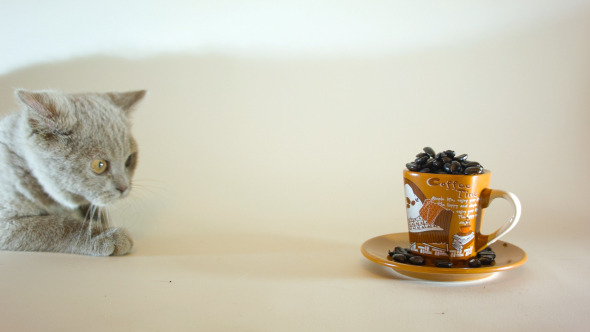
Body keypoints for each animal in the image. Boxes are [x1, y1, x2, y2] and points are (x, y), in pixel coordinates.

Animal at [0, 89, 147, 256]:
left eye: (129, 160)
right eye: (99, 165)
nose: (124, 188)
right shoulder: (6, 223)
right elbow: (55, 225)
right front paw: (106, 235)